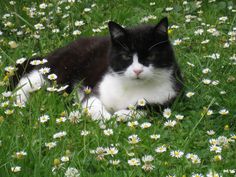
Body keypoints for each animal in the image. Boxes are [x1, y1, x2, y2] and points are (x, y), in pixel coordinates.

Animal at [12, 17, 183, 120]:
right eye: (126, 56)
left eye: (151, 56)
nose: (137, 71)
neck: (133, 86)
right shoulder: (95, 90)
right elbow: (94, 106)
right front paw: (108, 120)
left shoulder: (168, 97)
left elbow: (146, 109)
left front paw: (121, 115)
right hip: (58, 70)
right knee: (31, 79)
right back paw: (18, 101)